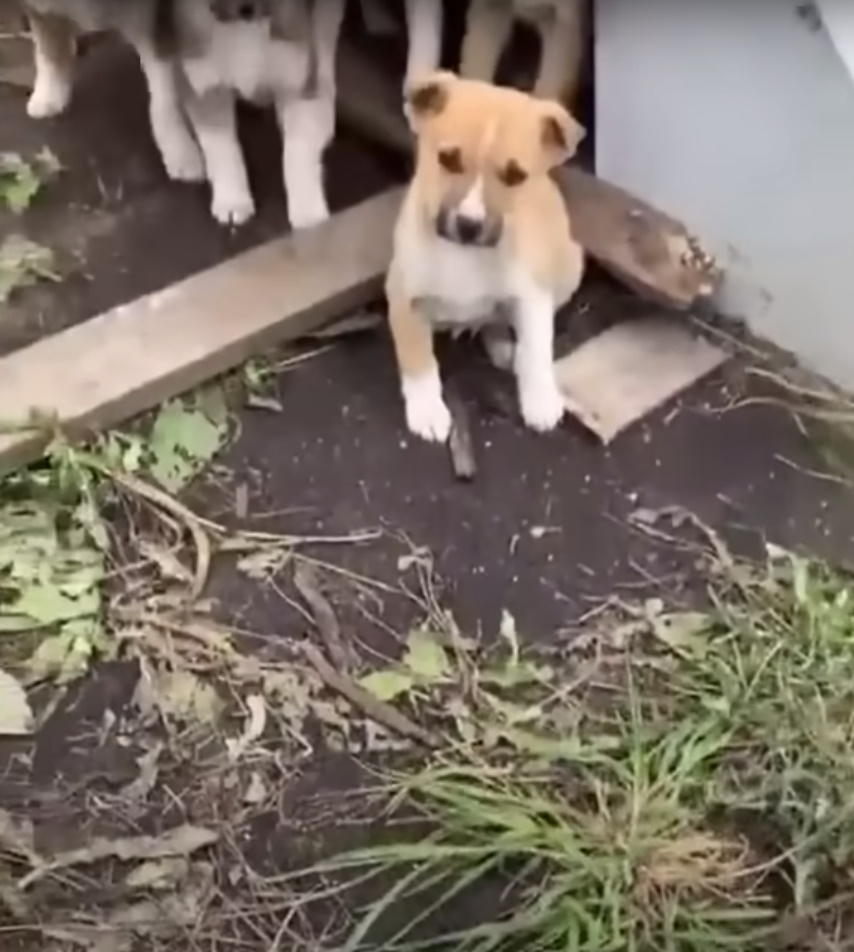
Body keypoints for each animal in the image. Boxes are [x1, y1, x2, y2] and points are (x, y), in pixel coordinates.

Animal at [20, 0, 348, 229]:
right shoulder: (205, 86)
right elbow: (221, 148)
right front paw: (231, 198)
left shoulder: (297, 84)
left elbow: (297, 153)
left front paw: (309, 214)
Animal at [388, 72, 588, 444]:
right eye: (447, 159)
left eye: (515, 175)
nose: (469, 226)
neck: (464, 254)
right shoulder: (404, 297)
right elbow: (419, 360)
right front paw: (428, 411)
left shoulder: (532, 295)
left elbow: (537, 348)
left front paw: (540, 400)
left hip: (570, 266)